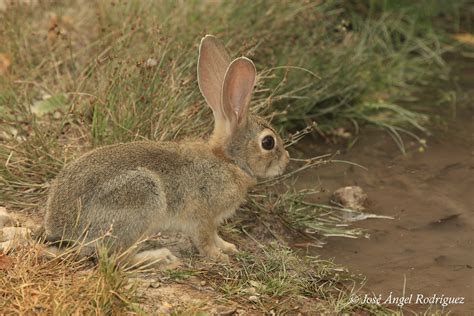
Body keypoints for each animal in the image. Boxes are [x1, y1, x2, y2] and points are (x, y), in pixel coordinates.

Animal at [43, 34, 288, 266]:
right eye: (268, 142)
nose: (285, 161)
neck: (229, 161)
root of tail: (62, 228)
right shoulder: (202, 215)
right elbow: (205, 239)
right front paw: (218, 256)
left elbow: (216, 235)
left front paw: (228, 247)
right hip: (140, 202)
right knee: (115, 257)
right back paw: (161, 258)